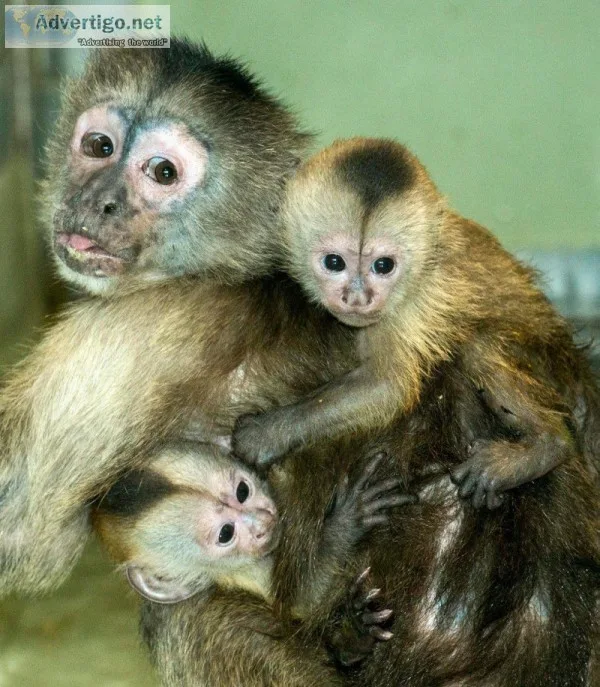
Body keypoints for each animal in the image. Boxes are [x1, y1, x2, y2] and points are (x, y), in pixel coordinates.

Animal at [93, 444, 411, 668]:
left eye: (242, 491)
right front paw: (347, 521)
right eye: (225, 534)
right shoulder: (243, 573)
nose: (263, 521)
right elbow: (304, 600)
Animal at [232, 137, 598, 510]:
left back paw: (548, 443)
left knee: (479, 344)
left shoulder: (406, 307)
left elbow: (388, 386)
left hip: (553, 363)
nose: (358, 298)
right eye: (334, 262)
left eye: (383, 266)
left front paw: (269, 433)